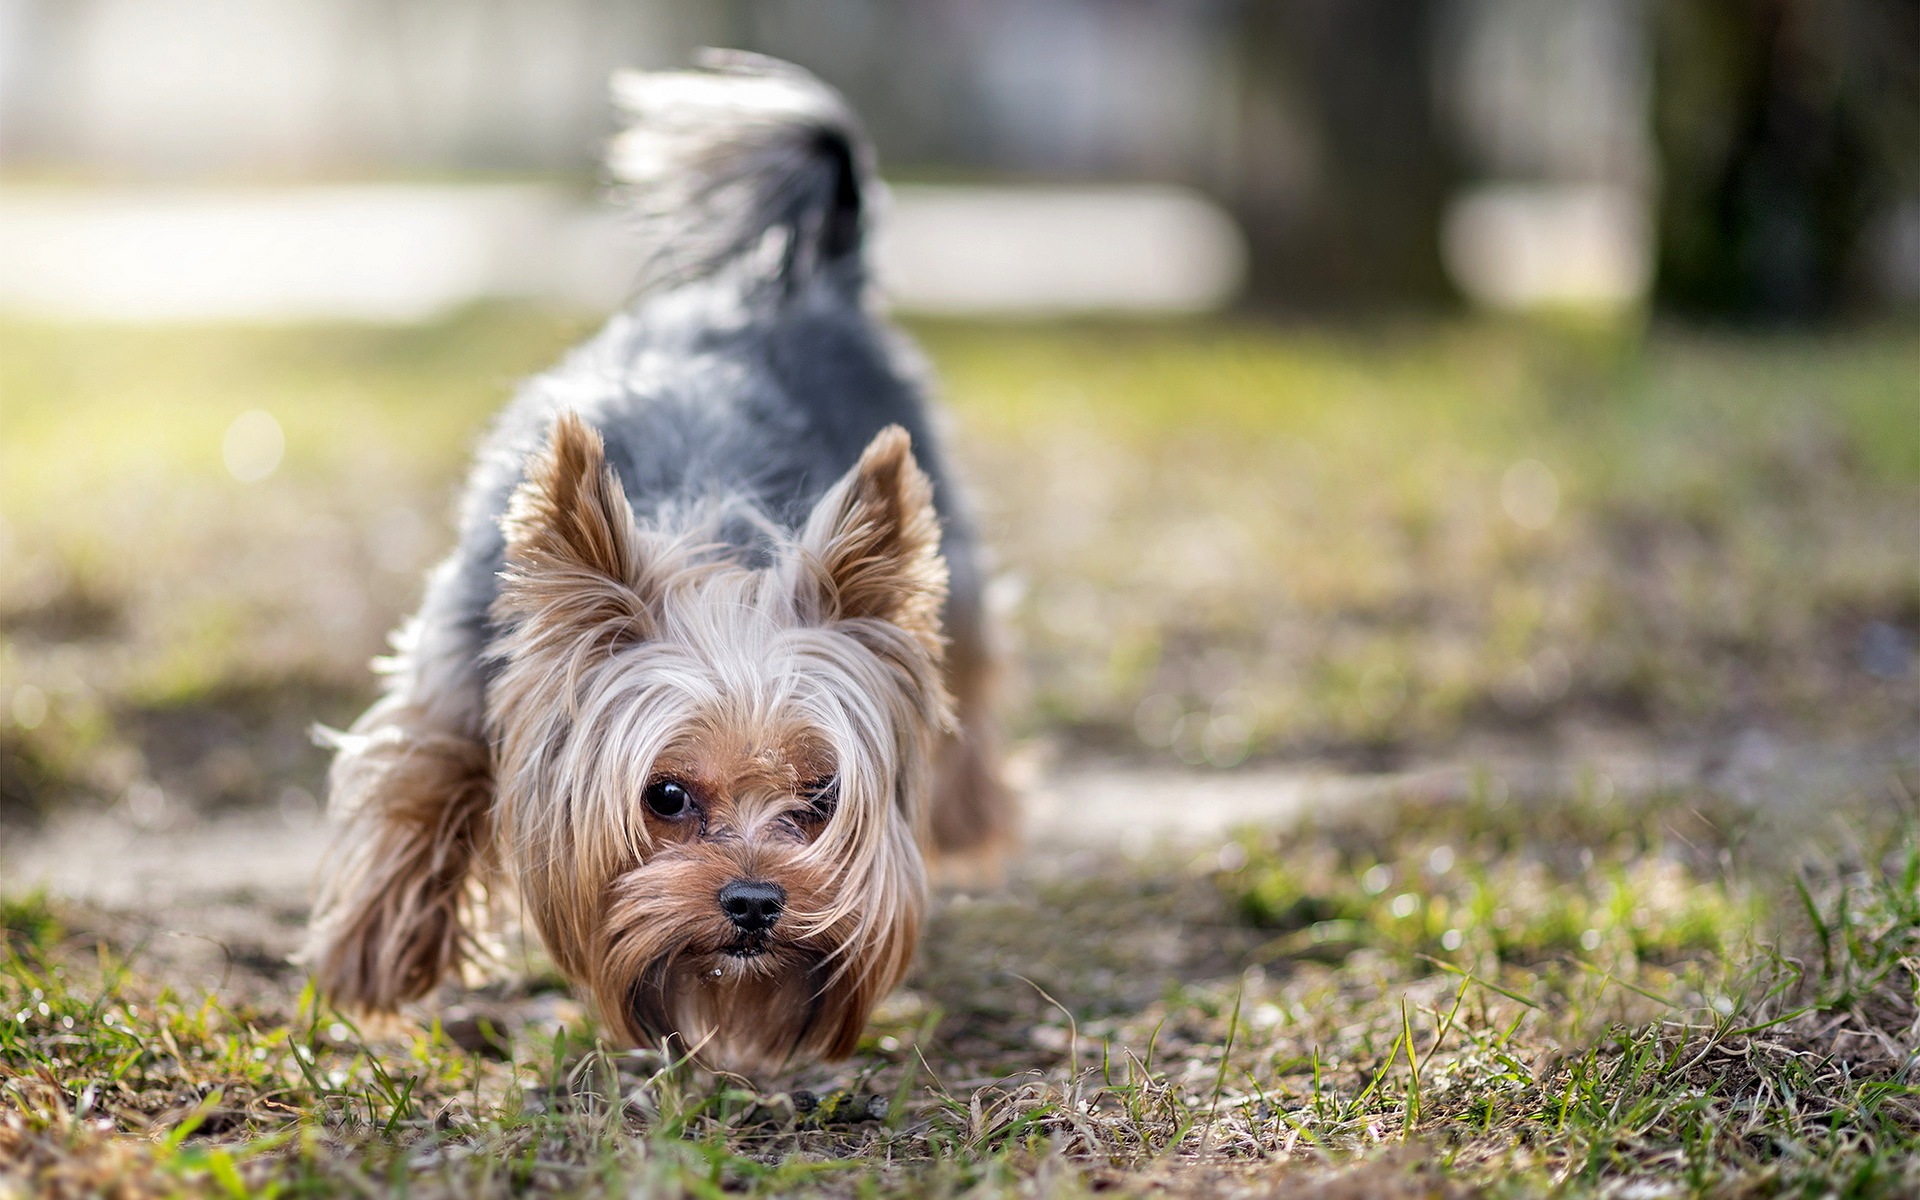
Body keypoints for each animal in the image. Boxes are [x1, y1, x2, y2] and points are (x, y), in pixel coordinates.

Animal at [299, 51, 1013, 1075]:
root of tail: (799, 283)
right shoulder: (464, 652)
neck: (706, 543)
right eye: (665, 796)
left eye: (822, 796)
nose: (755, 901)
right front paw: (376, 955)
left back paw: (970, 817)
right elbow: (422, 774)